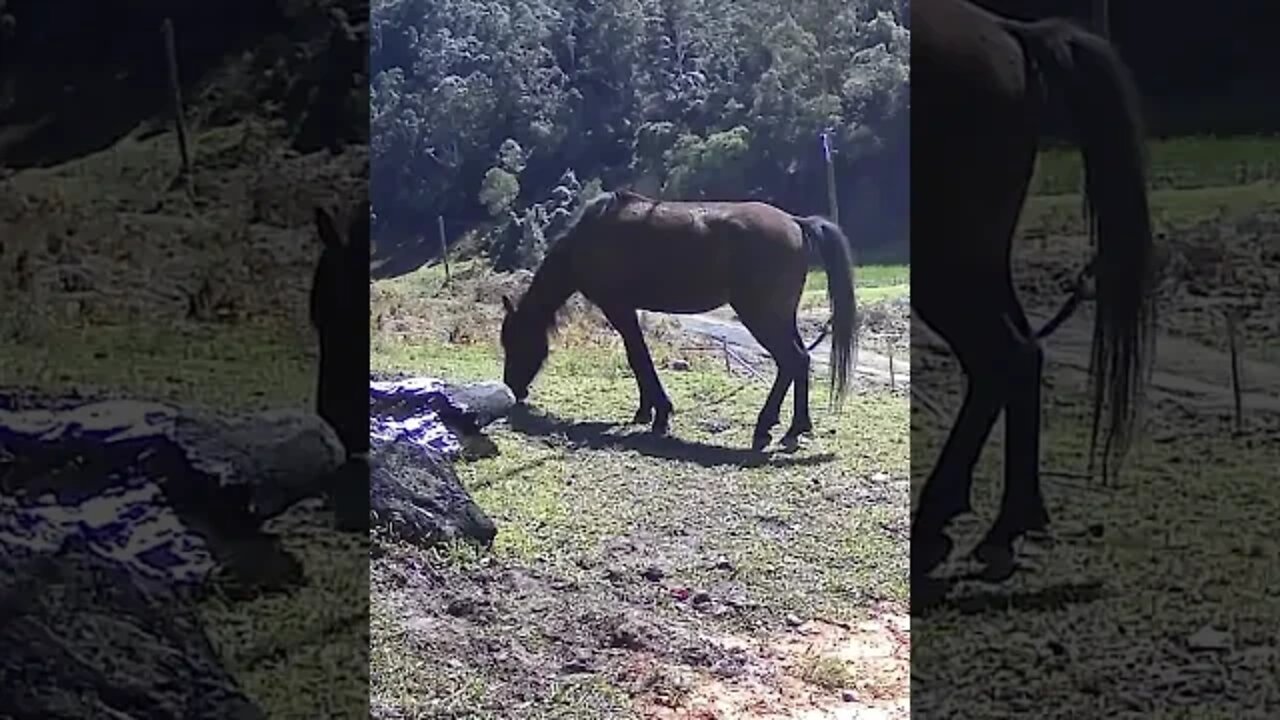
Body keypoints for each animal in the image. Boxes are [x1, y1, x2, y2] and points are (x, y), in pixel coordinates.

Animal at [499, 189, 858, 451]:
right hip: (780, 315)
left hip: (760, 315)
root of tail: (796, 222)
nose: (513, 390)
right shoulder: (626, 309)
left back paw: (764, 428)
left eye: (516, 343)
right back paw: (797, 427)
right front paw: (646, 410)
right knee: (802, 360)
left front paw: (659, 413)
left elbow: (638, 357)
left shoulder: (617, 307)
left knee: (791, 360)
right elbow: (637, 356)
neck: (589, 239)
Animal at [911, 0, 1157, 582]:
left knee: (1006, 354)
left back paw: (943, 525)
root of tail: (1006, 31)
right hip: (978, 259)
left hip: (946, 260)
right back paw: (1005, 525)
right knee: (1018, 355)